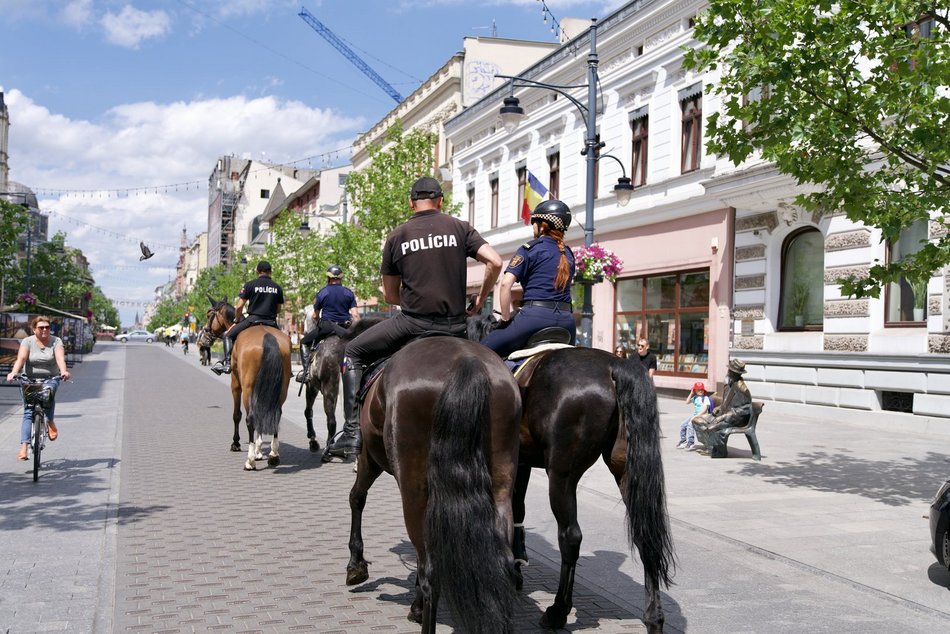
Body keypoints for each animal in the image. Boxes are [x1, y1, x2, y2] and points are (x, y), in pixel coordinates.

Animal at [199, 296, 292, 470]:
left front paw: (237, 444)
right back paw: (273, 455)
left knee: (250, 418)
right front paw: (259, 450)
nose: (204, 336)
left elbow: (237, 415)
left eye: (209, 315)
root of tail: (268, 337)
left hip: (247, 389)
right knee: (274, 414)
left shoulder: (236, 385)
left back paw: (250, 461)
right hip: (281, 389)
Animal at [344, 336, 520, 628]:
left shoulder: (368, 459)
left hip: (413, 487)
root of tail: (466, 360)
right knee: (503, 562)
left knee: (431, 573)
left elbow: (356, 498)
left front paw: (356, 565)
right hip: (500, 483)